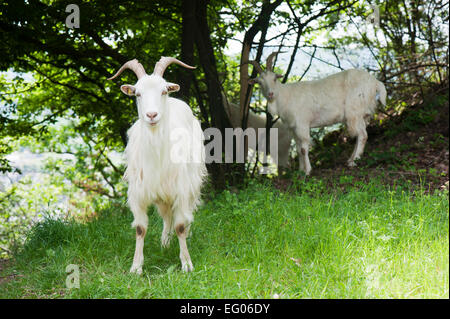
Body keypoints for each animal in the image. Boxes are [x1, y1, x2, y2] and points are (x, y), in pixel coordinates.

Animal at [108, 57, 207, 276]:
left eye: (163, 91)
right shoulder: (138, 192)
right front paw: (136, 267)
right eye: (137, 93)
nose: (152, 115)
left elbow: (180, 225)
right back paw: (165, 242)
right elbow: (140, 228)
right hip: (161, 196)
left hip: (191, 182)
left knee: (184, 216)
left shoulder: (181, 189)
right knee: (166, 217)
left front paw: (186, 263)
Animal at [248, 53, 384, 176]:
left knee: (362, 135)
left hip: (355, 112)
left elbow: (303, 149)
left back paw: (354, 161)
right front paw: (300, 170)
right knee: (360, 135)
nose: (270, 94)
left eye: (274, 78)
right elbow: (298, 149)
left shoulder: (302, 124)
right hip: (362, 115)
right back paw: (351, 159)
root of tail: (376, 82)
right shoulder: (293, 129)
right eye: (259, 82)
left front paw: (307, 171)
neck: (285, 96)